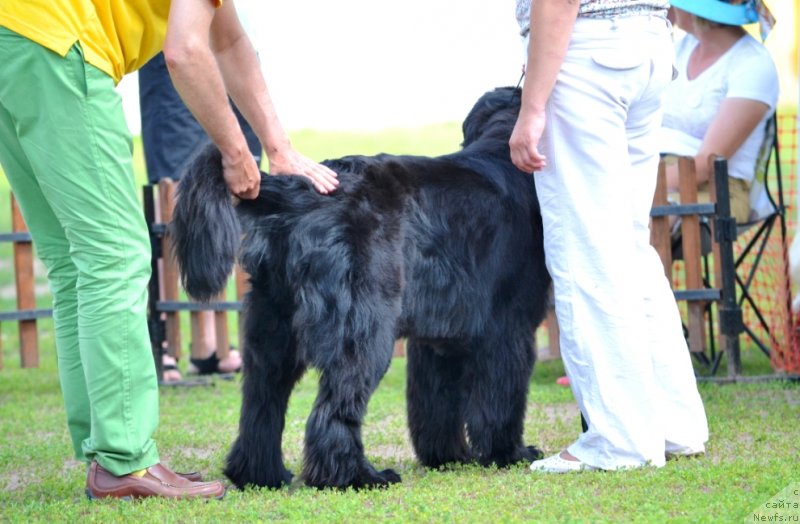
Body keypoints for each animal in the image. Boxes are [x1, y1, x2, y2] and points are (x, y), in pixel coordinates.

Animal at [173, 86, 552, 492]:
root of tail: (301, 193)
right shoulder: (507, 329)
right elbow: (501, 397)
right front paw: (508, 453)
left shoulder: (437, 337)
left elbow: (435, 404)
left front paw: (448, 457)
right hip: (361, 327)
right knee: (335, 406)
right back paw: (354, 475)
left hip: (272, 327)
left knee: (262, 403)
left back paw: (260, 474)